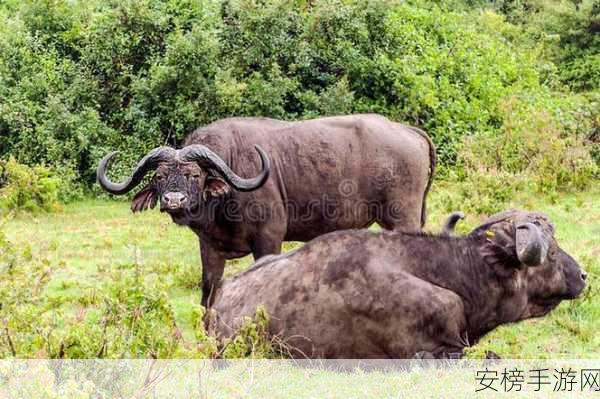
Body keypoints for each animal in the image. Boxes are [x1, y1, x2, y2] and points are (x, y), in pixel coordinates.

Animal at [98, 114, 436, 308]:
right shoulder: (209, 246)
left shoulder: (269, 240)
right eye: (159, 177)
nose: (174, 200)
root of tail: (409, 131)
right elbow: (208, 291)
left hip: (402, 217)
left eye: (194, 175)